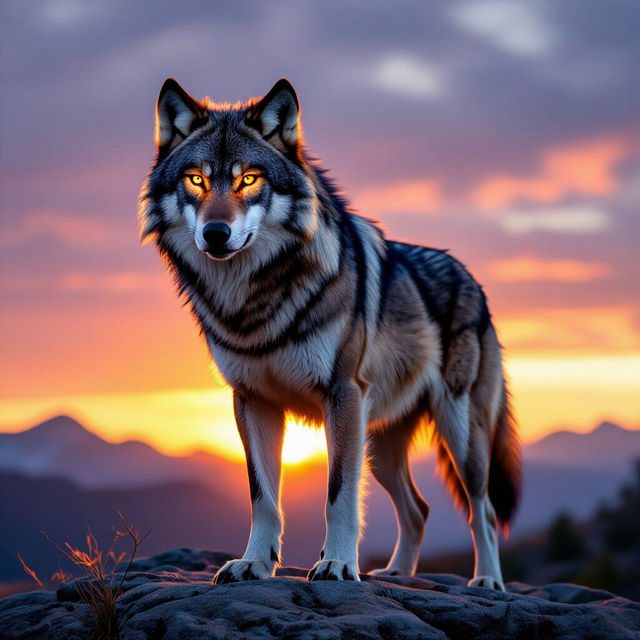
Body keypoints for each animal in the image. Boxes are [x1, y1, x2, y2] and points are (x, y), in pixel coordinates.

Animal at [138, 78, 521, 590]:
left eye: (248, 180)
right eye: (196, 180)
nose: (215, 233)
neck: (255, 299)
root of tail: (473, 279)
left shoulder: (342, 395)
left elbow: (338, 494)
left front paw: (337, 564)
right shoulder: (252, 400)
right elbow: (263, 496)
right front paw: (254, 563)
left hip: (458, 433)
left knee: (484, 509)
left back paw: (488, 581)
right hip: (380, 442)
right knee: (418, 509)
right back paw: (397, 573)